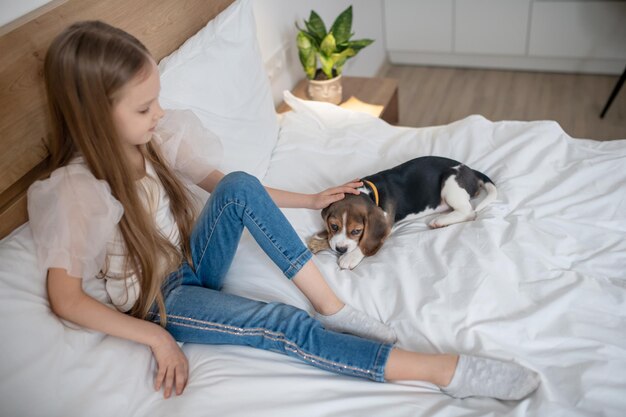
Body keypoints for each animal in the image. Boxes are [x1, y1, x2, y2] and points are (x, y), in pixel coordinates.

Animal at [308, 156, 498, 270]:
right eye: (334, 226)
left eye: (356, 231)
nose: (340, 249)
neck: (367, 192)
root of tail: (471, 171)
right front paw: (320, 239)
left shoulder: (385, 225)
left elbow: (365, 242)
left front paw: (350, 257)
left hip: (450, 183)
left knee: (469, 212)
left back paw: (440, 221)